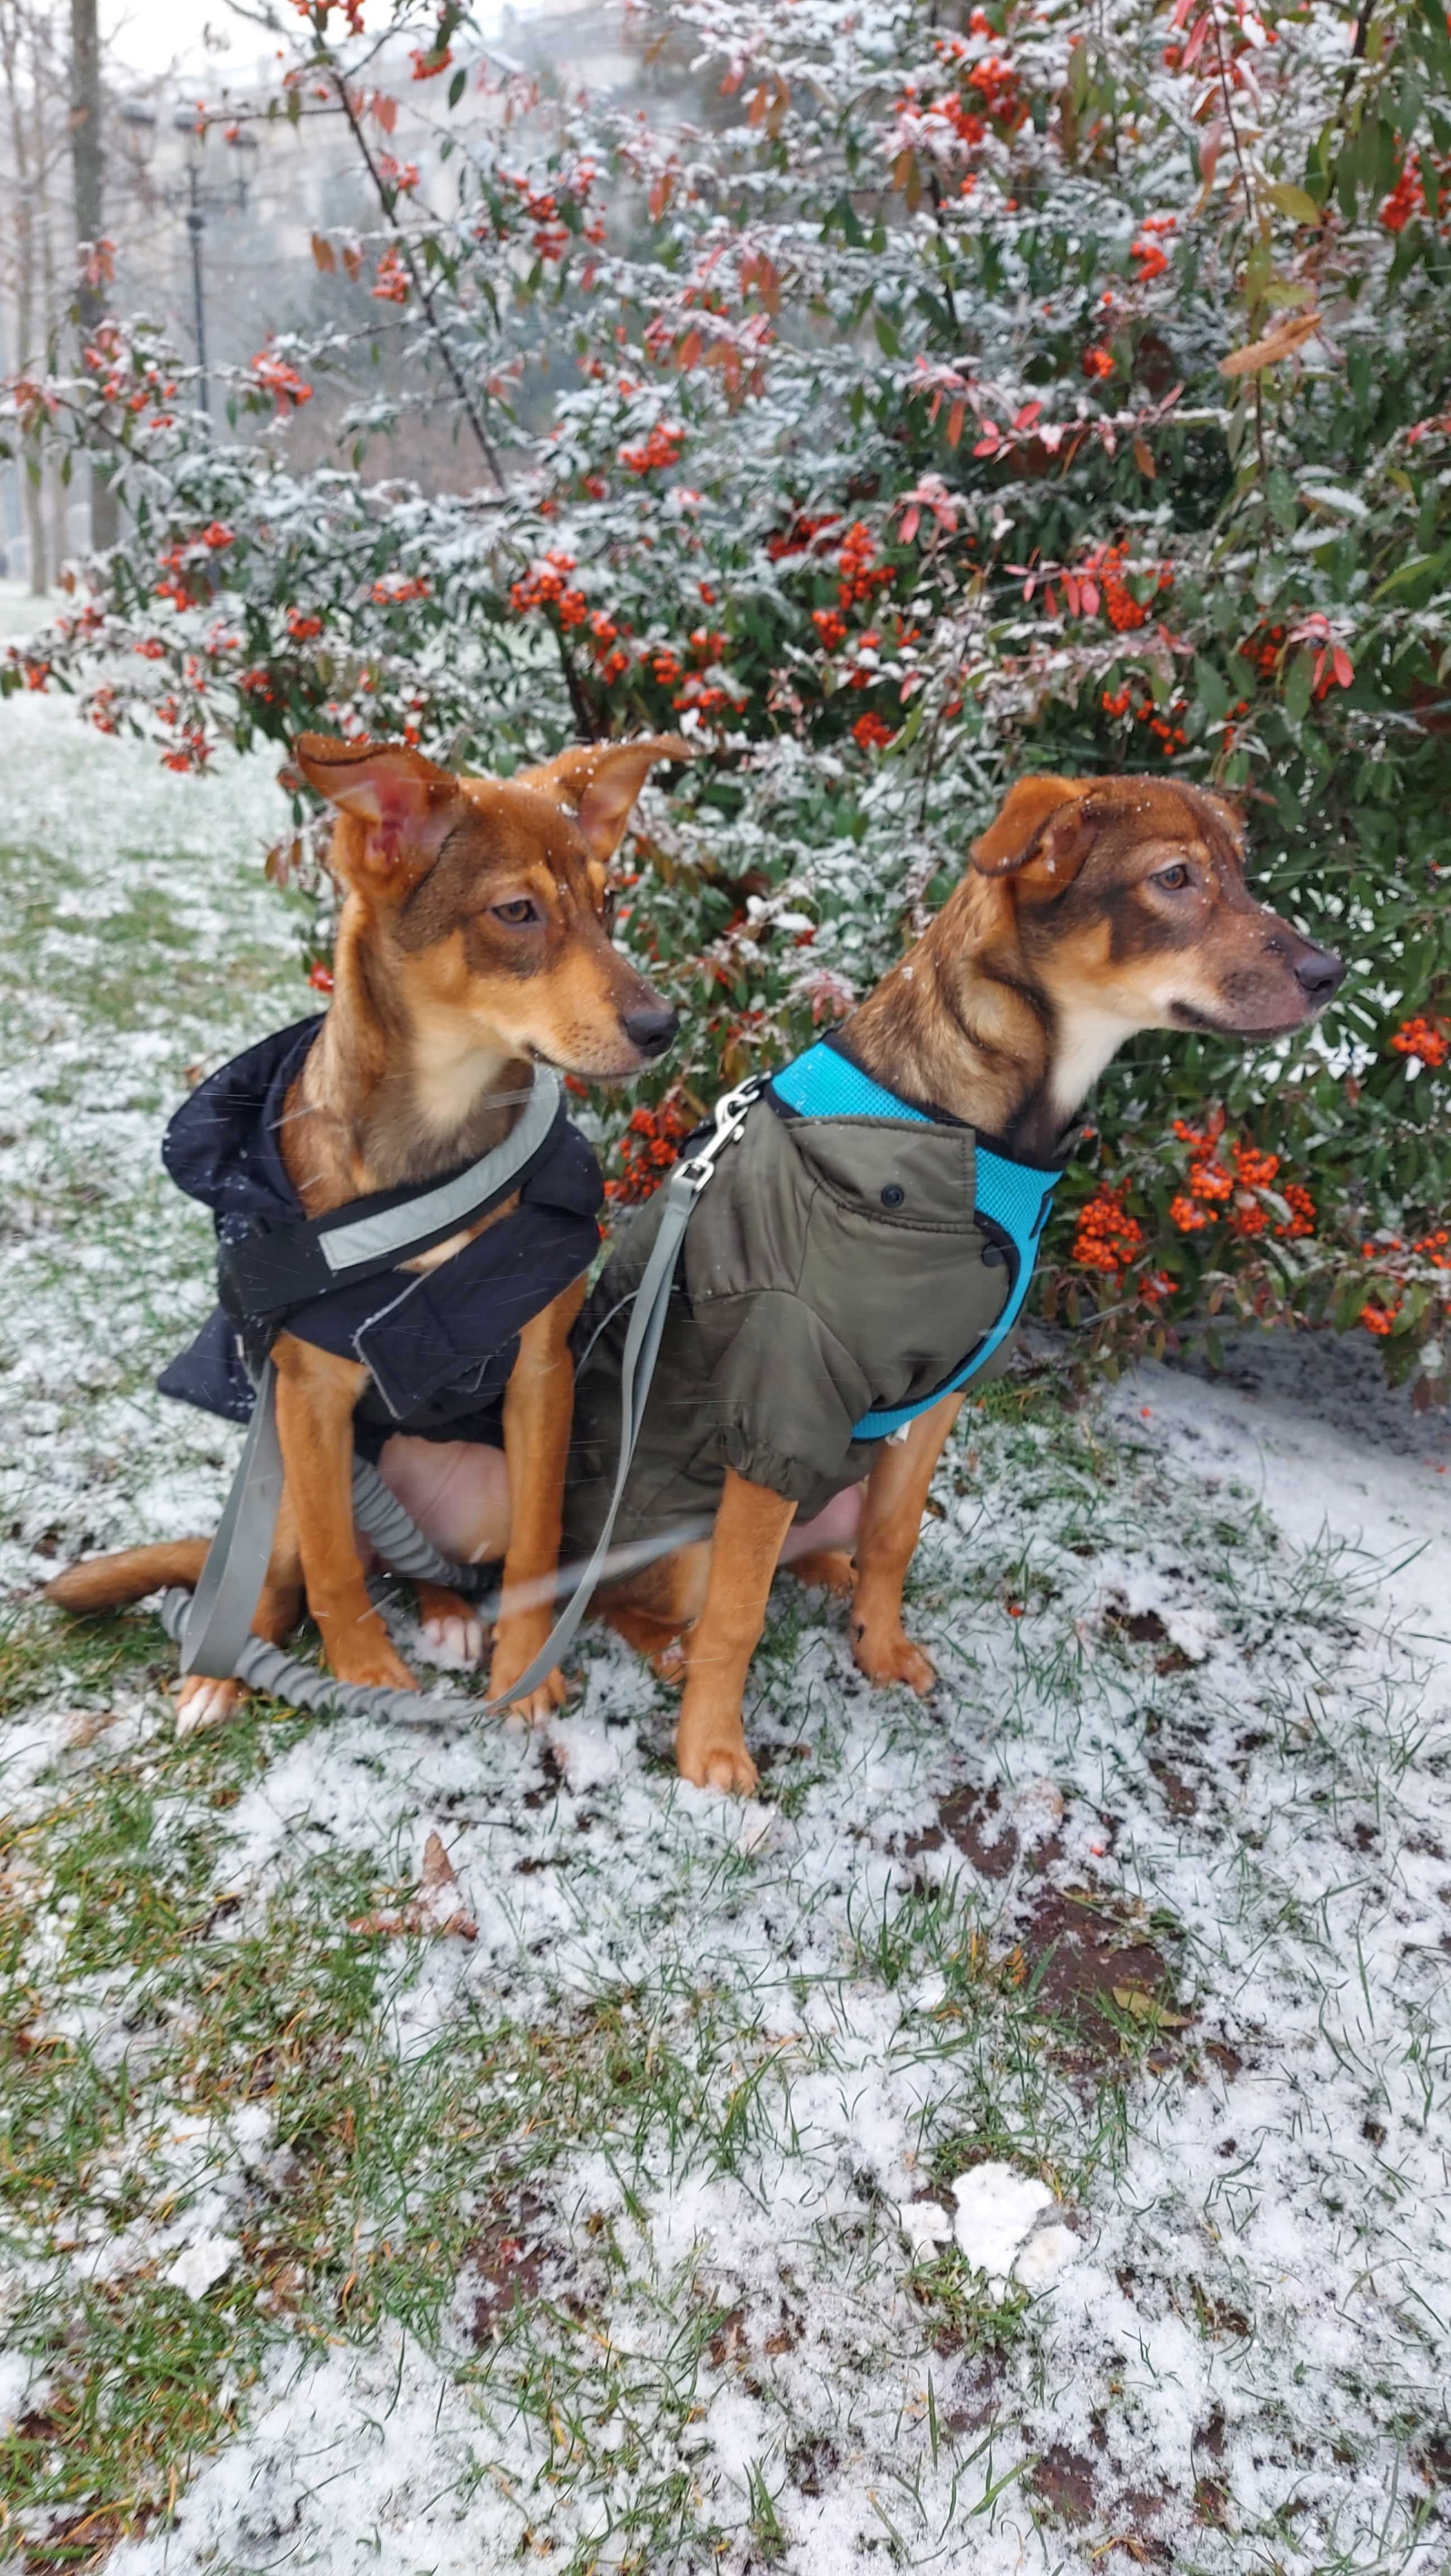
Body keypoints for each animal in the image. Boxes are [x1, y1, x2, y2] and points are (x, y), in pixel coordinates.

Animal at [45, 731, 690, 1731]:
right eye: (516, 911)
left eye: (607, 902)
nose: (662, 1025)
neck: (434, 1136)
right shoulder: (306, 1395)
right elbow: (329, 1561)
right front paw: (363, 1671)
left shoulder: (538, 1378)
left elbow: (538, 1550)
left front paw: (525, 1674)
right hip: (278, 1476)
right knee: (284, 1573)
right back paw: (222, 1668)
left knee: (429, 1565)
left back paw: (449, 1618)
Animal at [577, 767, 1340, 1793]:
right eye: (1173, 878)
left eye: (1240, 871)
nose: (1328, 974)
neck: (976, 1137)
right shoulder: (780, 1403)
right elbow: (736, 1614)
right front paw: (712, 1750)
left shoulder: (938, 1392)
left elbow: (896, 1536)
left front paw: (877, 1645)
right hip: (684, 1531)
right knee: (644, 1598)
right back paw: (669, 1648)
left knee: (816, 1543)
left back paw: (825, 1575)